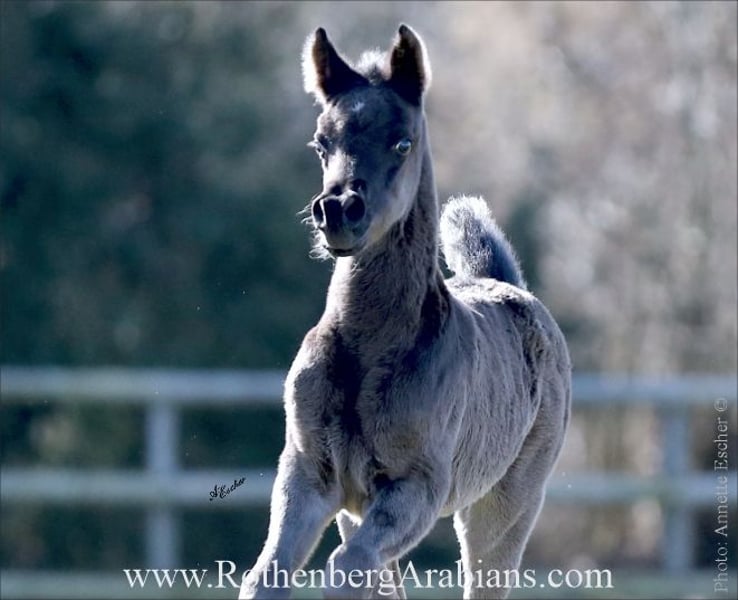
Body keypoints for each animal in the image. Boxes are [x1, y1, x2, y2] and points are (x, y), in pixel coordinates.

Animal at [240, 24, 571, 600]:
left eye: (402, 141)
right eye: (321, 142)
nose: (338, 211)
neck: (366, 350)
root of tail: (510, 284)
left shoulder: (417, 485)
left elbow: (347, 567)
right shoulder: (309, 474)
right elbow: (268, 574)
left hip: (505, 506)